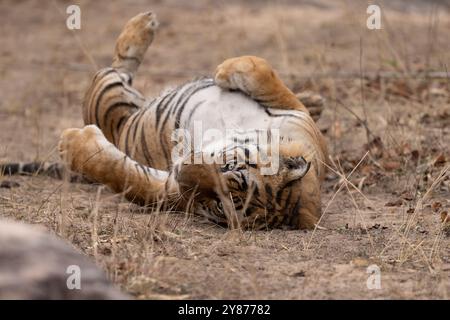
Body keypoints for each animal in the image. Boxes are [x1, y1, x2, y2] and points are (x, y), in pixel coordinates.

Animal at [2, 11, 326, 229]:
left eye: (219, 205)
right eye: (229, 166)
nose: (183, 172)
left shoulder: (170, 191)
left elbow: (124, 176)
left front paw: (71, 143)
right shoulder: (296, 118)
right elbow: (262, 69)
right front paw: (224, 70)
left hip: (107, 96)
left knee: (116, 68)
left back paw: (141, 28)